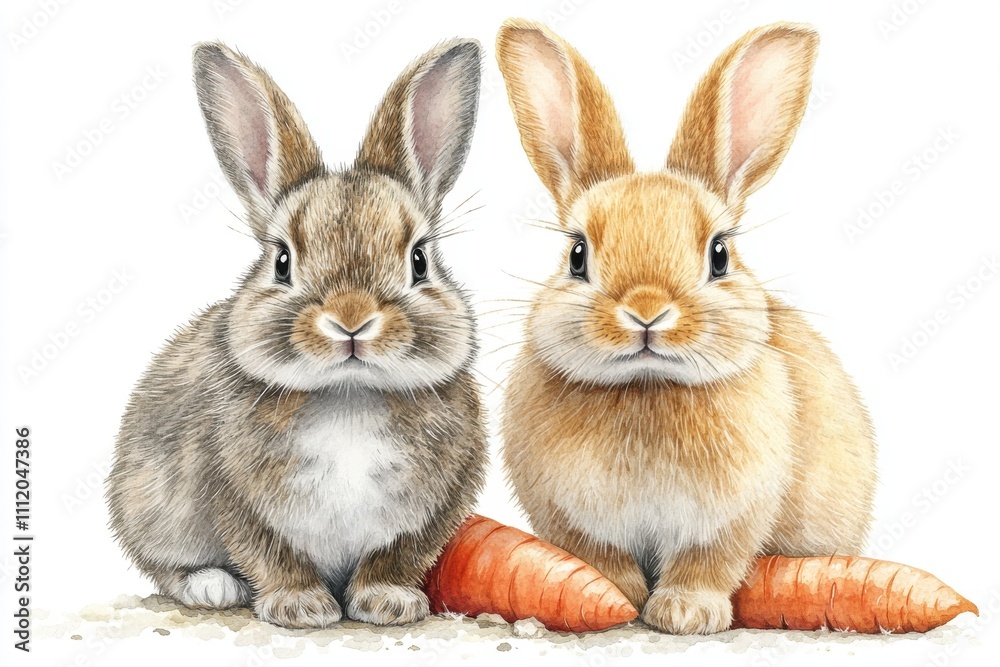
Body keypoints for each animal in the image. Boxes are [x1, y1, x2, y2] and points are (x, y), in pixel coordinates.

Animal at [105, 38, 488, 630]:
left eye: (420, 260)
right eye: (282, 261)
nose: (351, 320)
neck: (350, 396)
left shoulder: (436, 508)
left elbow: (395, 557)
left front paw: (387, 603)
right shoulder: (231, 495)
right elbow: (270, 553)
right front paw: (301, 607)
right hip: (146, 502)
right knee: (165, 565)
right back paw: (210, 587)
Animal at [495, 19, 877, 635]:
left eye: (719, 254)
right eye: (577, 255)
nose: (647, 310)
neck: (648, 386)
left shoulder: (733, 516)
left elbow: (709, 561)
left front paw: (685, 613)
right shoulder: (568, 515)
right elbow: (599, 558)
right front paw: (621, 597)